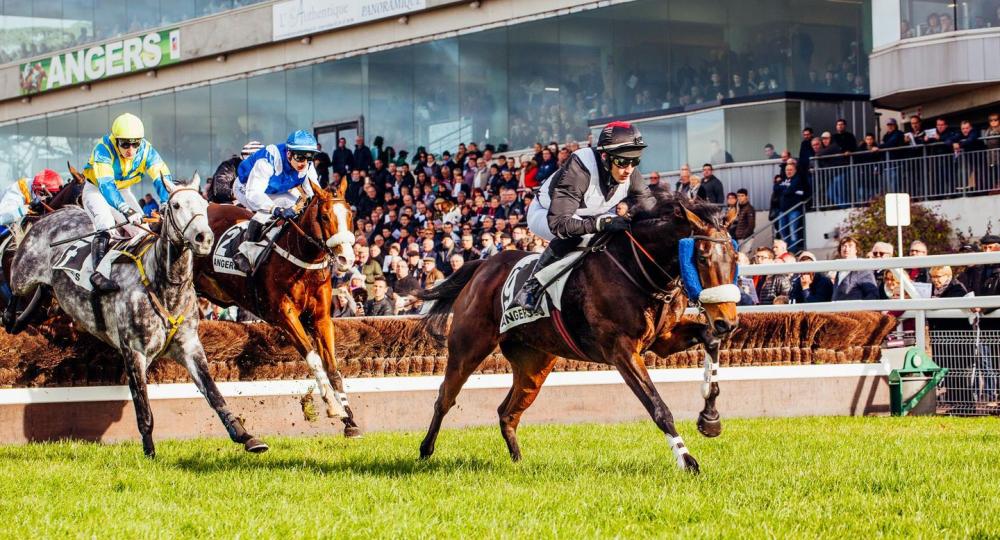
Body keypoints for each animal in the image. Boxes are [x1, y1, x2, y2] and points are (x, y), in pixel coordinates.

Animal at [10, 176, 270, 456]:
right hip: (23, 275)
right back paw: (12, 320)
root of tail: (53, 214)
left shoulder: (189, 347)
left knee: (40, 298)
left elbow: (214, 394)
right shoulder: (134, 351)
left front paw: (246, 436)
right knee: (13, 294)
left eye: (204, 204)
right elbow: (143, 408)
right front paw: (150, 451)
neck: (166, 286)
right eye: (176, 205)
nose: (204, 239)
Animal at [189, 179, 362, 436]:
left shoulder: (321, 318)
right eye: (324, 216)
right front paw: (333, 406)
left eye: (350, 214)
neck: (304, 262)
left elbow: (332, 366)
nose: (346, 259)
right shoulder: (284, 316)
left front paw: (349, 419)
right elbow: (313, 358)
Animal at [418, 193, 740, 472]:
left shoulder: (663, 339)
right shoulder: (622, 351)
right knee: (445, 398)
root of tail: (483, 266)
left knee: (507, 412)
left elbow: (709, 339)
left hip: (534, 363)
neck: (638, 270)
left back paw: (518, 462)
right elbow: (658, 407)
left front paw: (710, 418)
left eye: (735, 257)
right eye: (702, 257)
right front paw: (687, 461)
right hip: (468, 347)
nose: (728, 321)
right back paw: (424, 452)